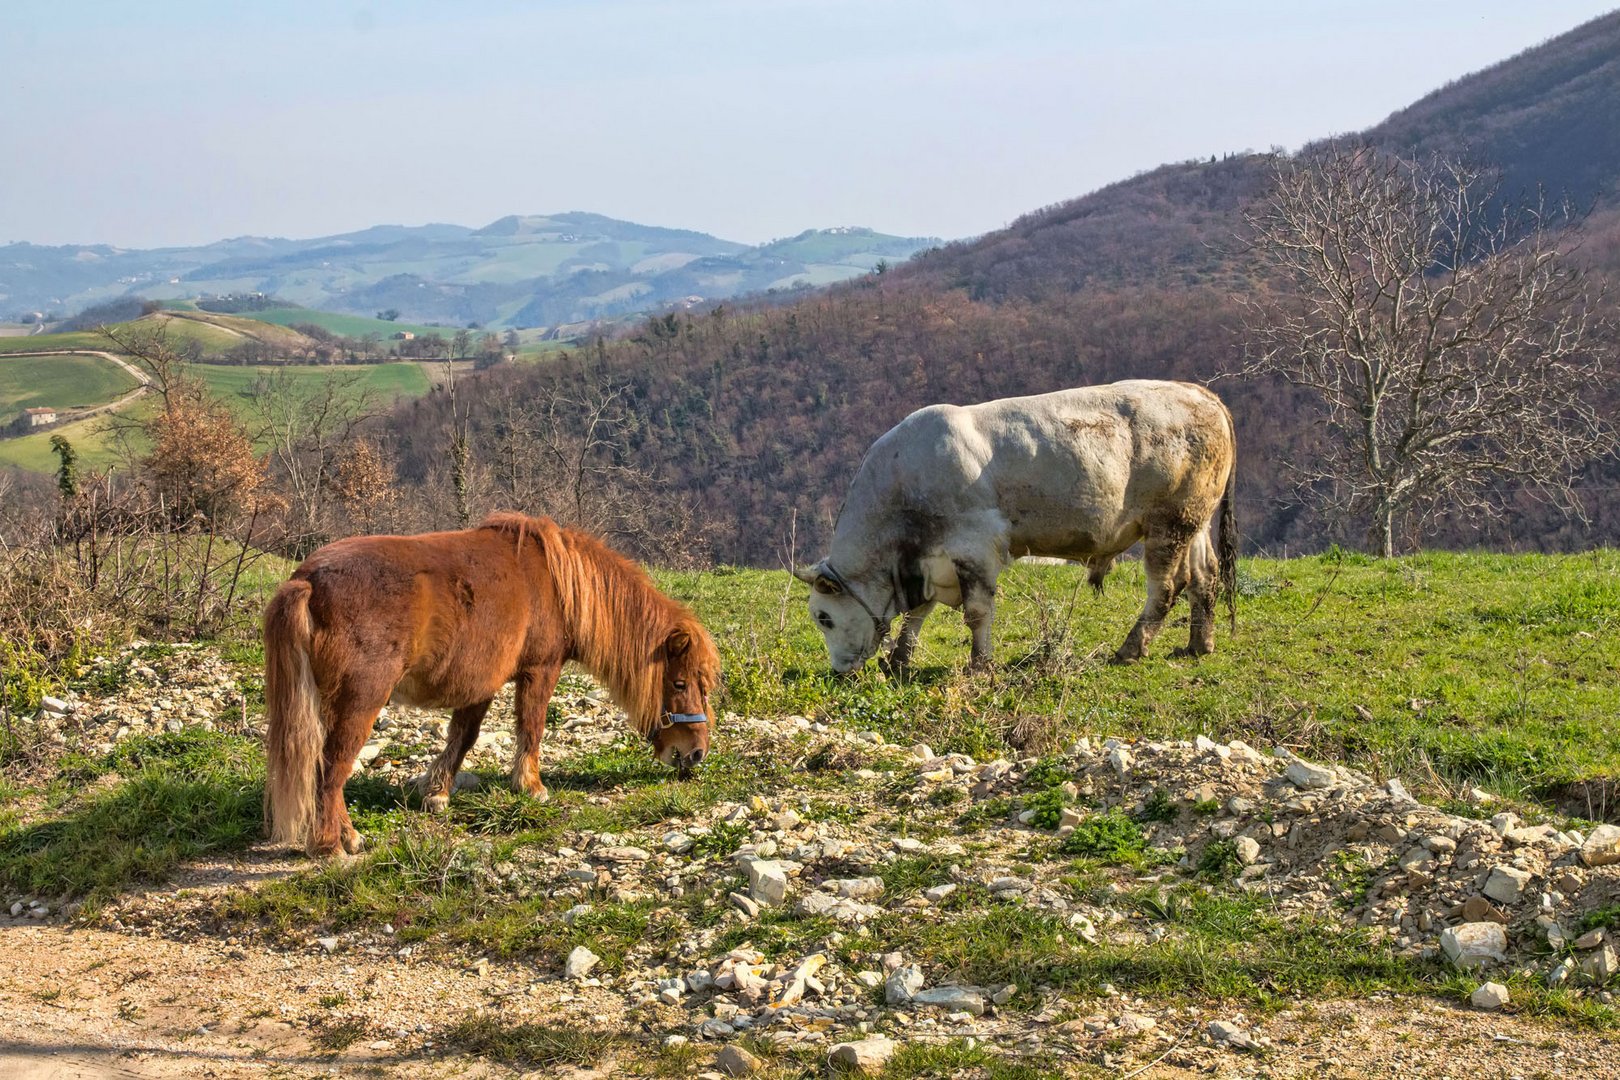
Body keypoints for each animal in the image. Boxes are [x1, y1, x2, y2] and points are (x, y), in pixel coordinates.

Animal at [262, 514, 719, 861]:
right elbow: (531, 727)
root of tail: (308, 582)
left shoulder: (479, 683)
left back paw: (347, 835)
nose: (695, 753)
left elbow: (463, 737)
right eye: (680, 682)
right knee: (331, 768)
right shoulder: (540, 670)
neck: (555, 582)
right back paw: (330, 846)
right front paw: (531, 787)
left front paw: (437, 794)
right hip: (360, 702)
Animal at [797, 375, 1237, 670]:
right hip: (1194, 521)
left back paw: (1131, 649)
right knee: (1204, 576)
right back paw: (1199, 644)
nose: (839, 670)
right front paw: (899, 661)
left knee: (1166, 587)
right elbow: (917, 612)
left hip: (1168, 524)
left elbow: (976, 612)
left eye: (823, 617)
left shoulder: (974, 548)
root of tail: (1201, 394)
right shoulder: (929, 562)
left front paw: (979, 665)